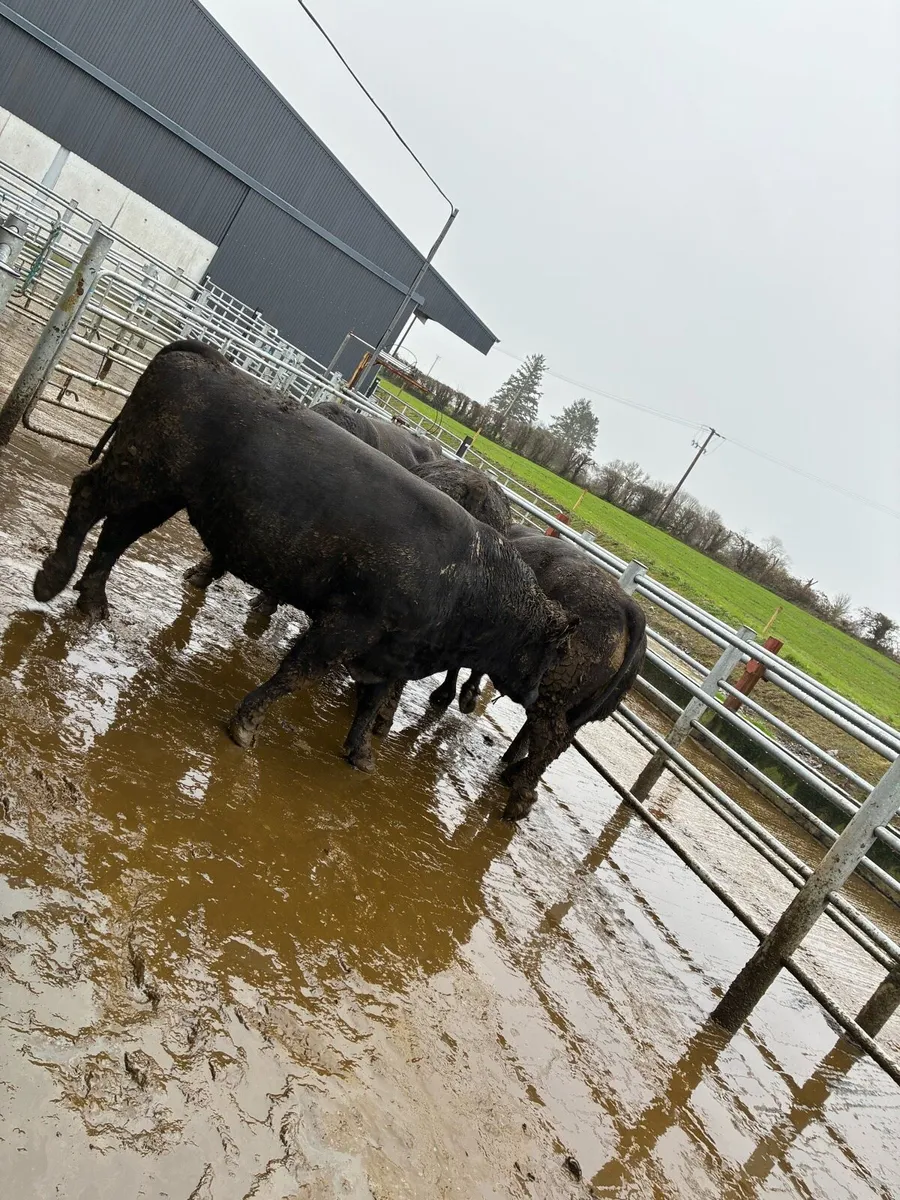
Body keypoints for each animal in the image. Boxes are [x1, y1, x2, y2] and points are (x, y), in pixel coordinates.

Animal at [33, 341, 576, 786]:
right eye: (553, 655)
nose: (543, 701)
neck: (468, 579)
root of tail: (208, 357)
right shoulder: (348, 625)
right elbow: (297, 673)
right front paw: (246, 725)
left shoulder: (389, 652)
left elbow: (371, 703)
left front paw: (360, 754)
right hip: (139, 468)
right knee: (87, 498)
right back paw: (52, 579)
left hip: (163, 491)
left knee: (117, 535)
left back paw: (93, 601)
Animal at [421, 525, 647, 819]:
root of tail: (629, 608)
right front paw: (467, 695)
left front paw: (446, 695)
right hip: (578, 706)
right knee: (557, 740)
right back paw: (514, 771)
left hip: (553, 689)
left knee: (551, 736)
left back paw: (520, 797)